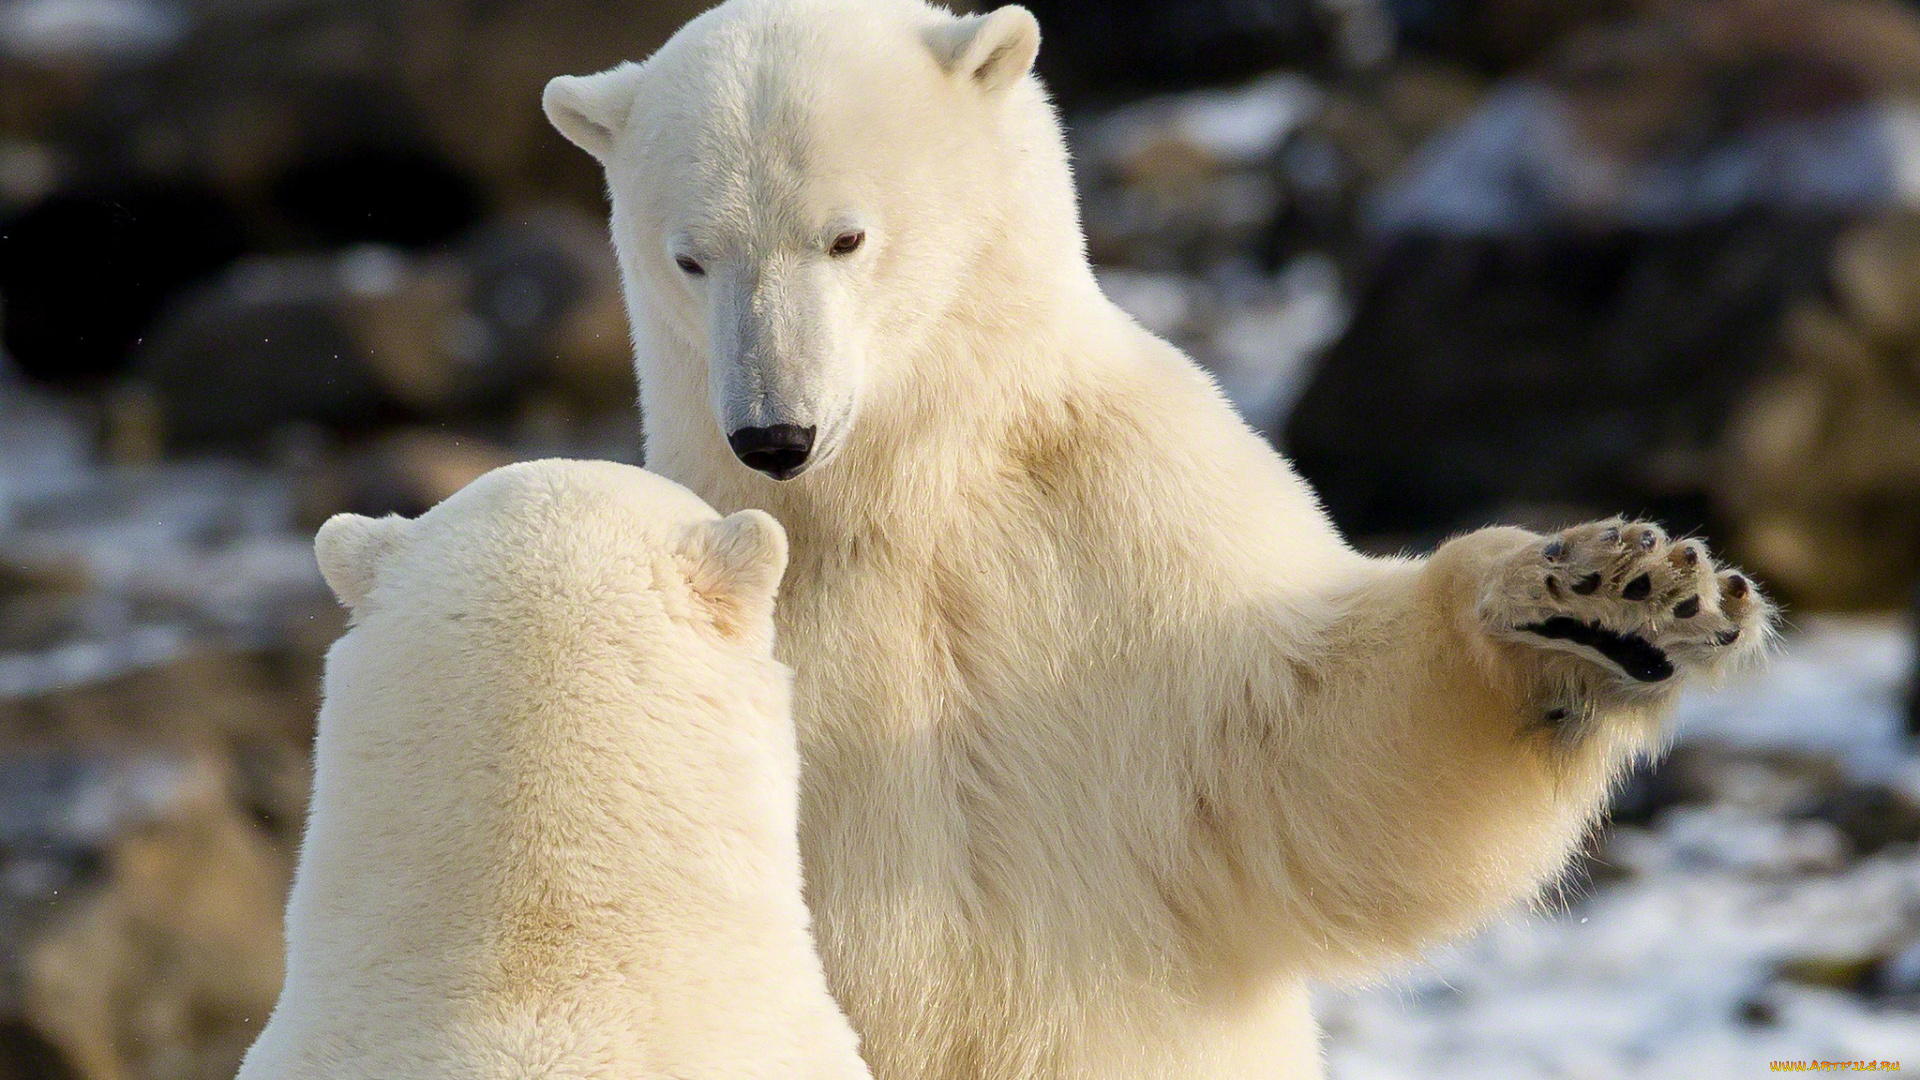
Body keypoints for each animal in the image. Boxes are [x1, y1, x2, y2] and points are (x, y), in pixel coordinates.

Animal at [541, 4, 1766, 1068]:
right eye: (690, 257)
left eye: (845, 237)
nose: (774, 434)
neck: (896, 488)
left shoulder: (1127, 515)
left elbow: (1311, 756)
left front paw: (1606, 605)